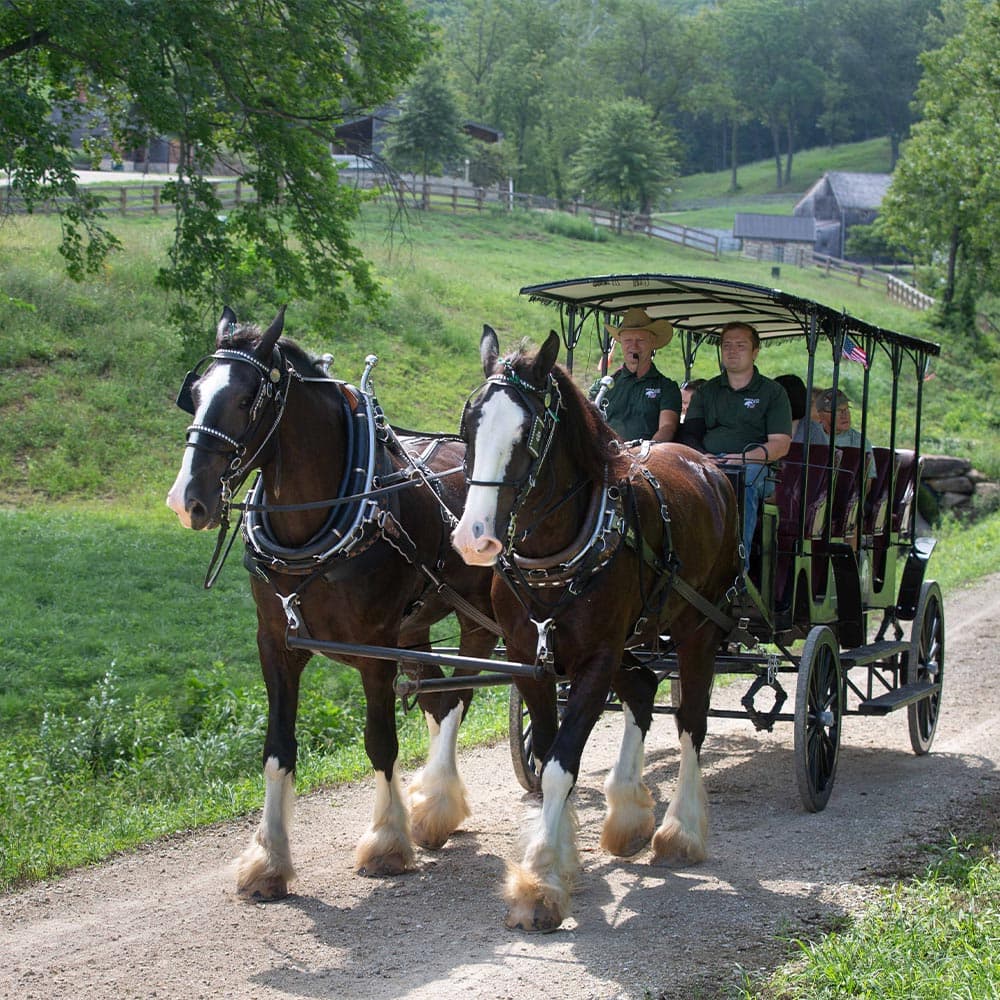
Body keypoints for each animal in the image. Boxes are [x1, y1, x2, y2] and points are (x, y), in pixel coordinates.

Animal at [166, 306, 497, 899]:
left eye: (247, 398)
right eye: (196, 392)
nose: (187, 500)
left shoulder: (376, 651)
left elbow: (380, 742)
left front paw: (387, 843)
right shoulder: (276, 644)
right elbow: (277, 748)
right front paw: (269, 859)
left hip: (477, 617)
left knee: (460, 696)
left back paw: (436, 802)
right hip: (417, 627)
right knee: (439, 700)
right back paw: (433, 803)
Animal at [451, 326, 741, 931]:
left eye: (528, 432)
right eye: (468, 424)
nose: (475, 538)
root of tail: (706, 466)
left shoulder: (596, 661)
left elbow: (562, 765)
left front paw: (540, 881)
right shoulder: (529, 660)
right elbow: (545, 759)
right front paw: (555, 860)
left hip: (699, 628)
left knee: (691, 722)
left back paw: (681, 831)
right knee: (644, 689)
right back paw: (628, 813)